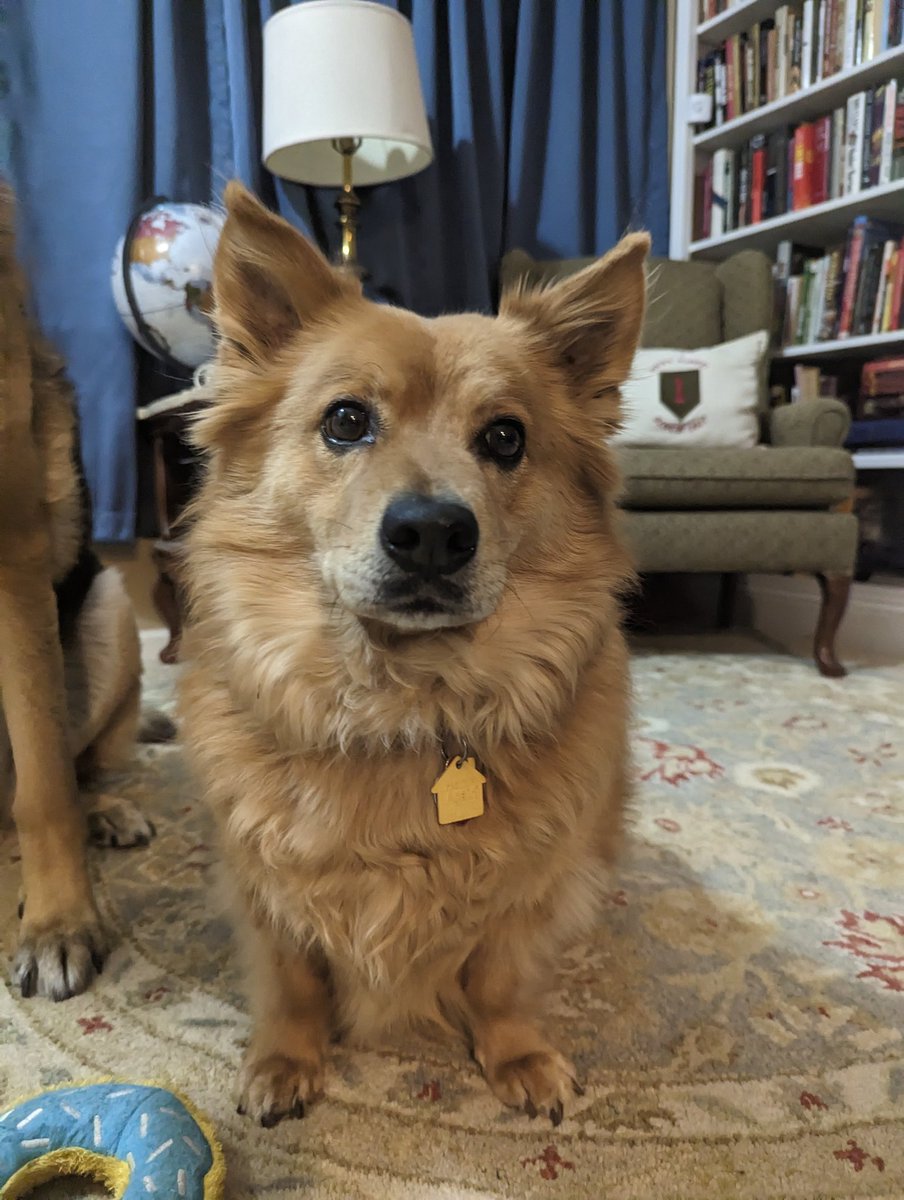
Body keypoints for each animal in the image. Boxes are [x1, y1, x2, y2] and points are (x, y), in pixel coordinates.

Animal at [181, 182, 648, 1128]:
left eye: (505, 438)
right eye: (346, 420)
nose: (433, 531)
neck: (404, 703)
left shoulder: (528, 891)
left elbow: (500, 978)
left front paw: (516, 1053)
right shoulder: (258, 881)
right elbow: (291, 980)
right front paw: (285, 1059)